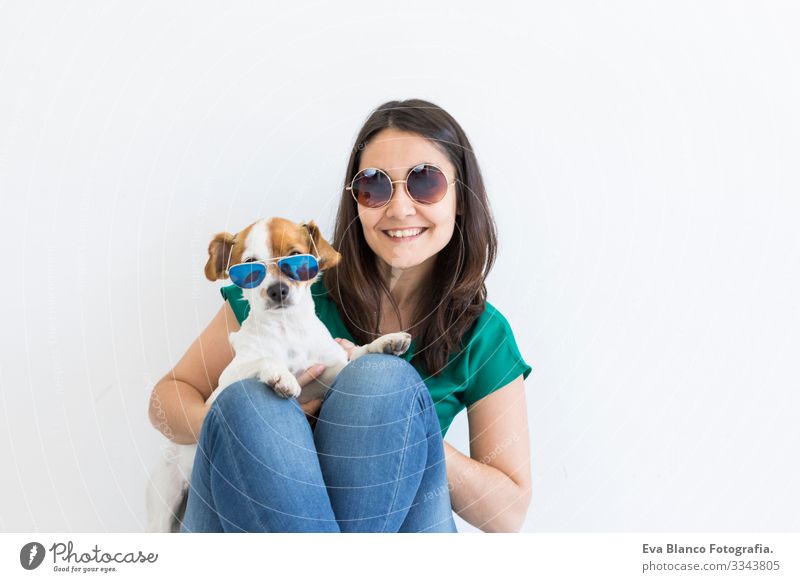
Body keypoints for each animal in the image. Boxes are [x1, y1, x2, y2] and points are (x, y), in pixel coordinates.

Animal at [145, 218, 416, 532]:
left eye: (296, 257)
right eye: (250, 265)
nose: (277, 290)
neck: (288, 332)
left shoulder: (330, 371)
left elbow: (355, 355)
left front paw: (385, 342)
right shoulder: (228, 380)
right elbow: (264, 359)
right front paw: (280, 375)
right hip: (164, 505)